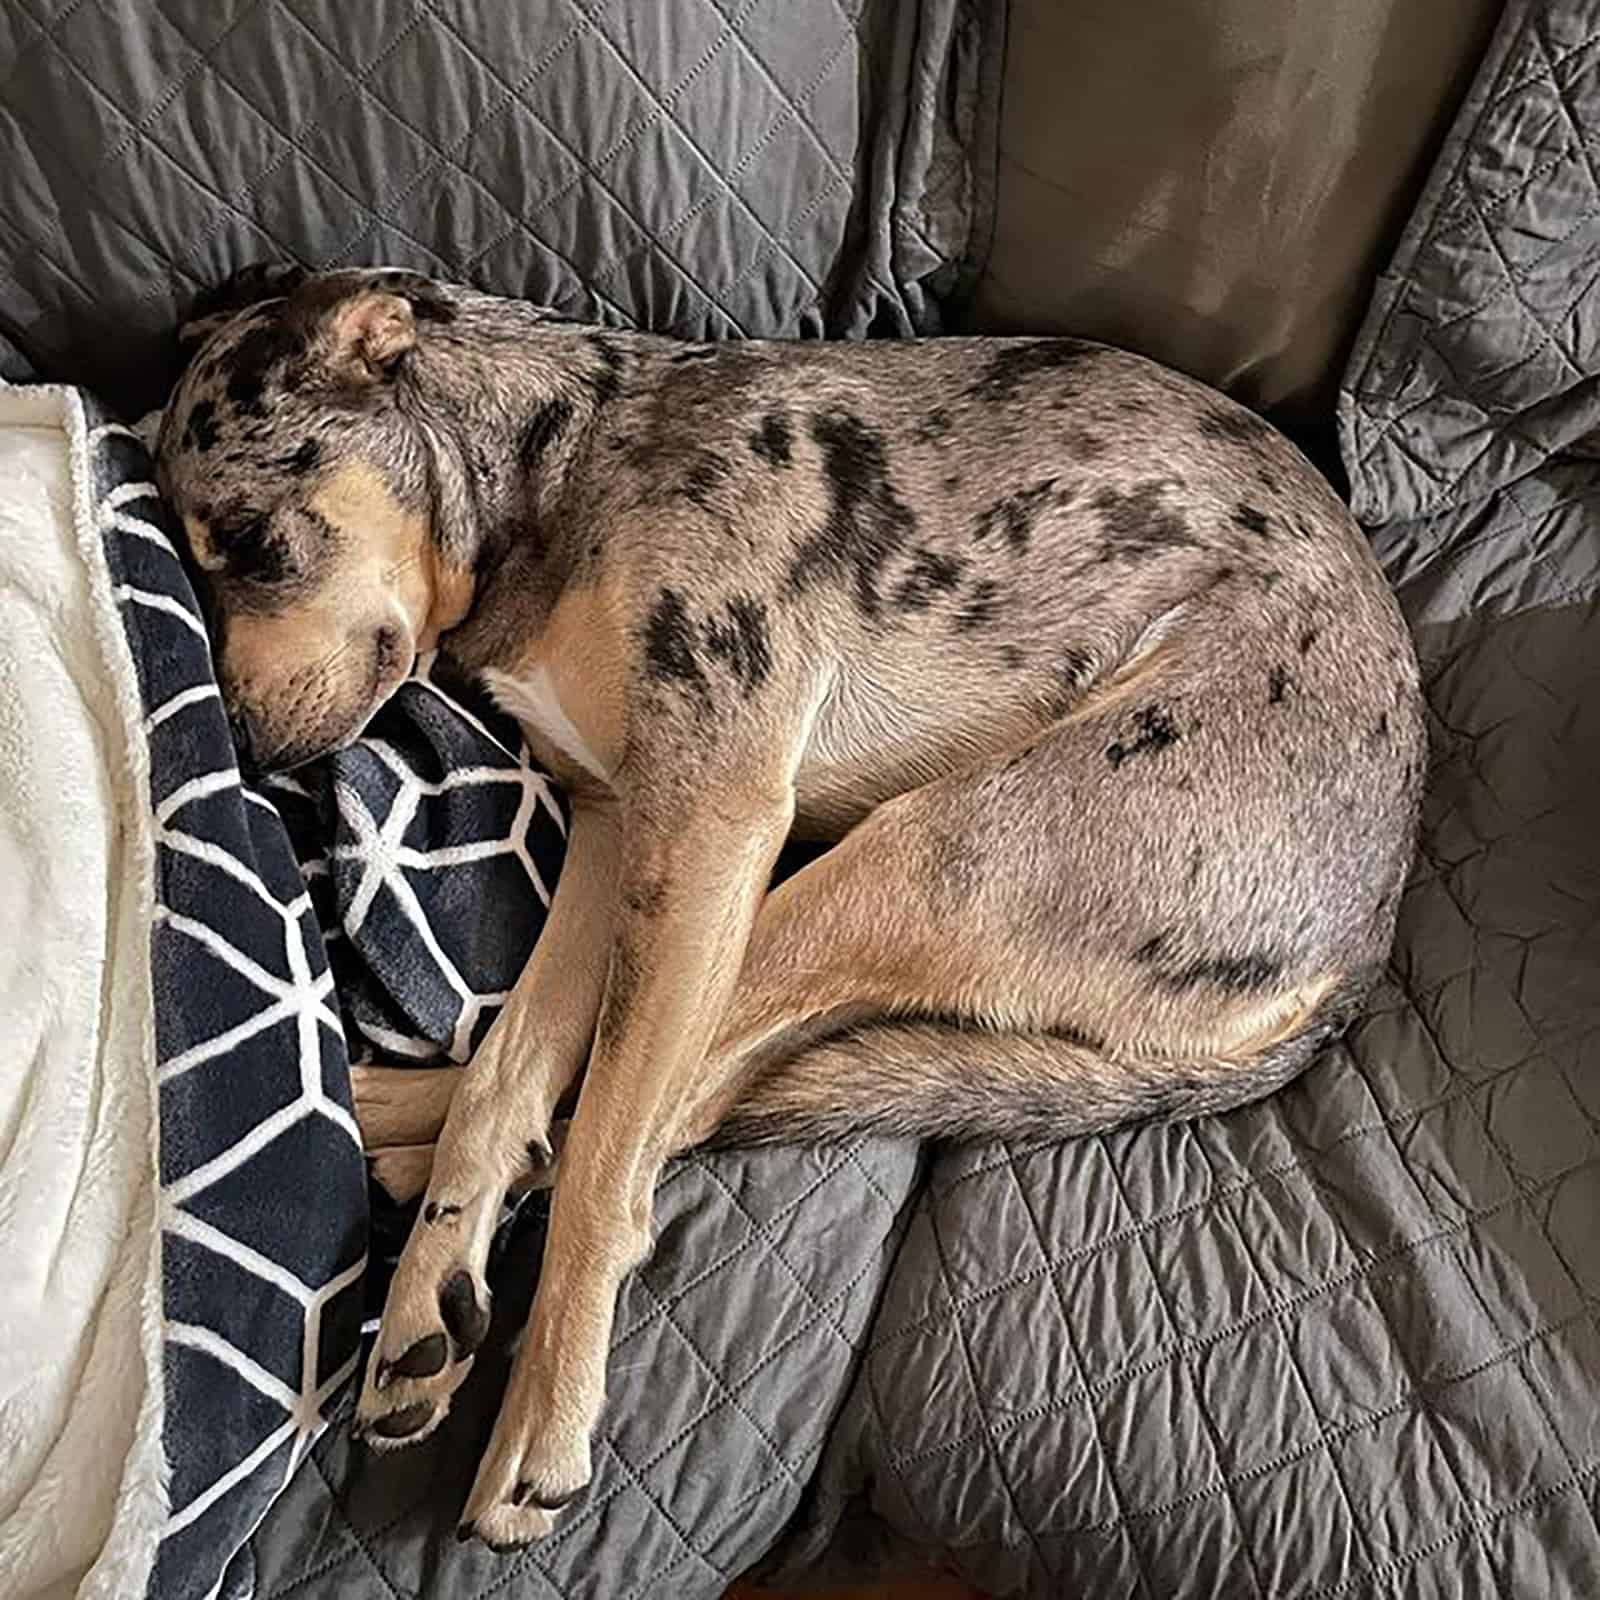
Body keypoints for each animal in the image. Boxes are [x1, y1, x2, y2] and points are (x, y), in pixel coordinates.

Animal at [152, 265, 1427, 1548]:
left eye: (253, 544)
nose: (241, 753)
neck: (560, 466)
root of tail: (1368, 935)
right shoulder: (618, 835)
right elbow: (511, 1072)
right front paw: (429, 1290)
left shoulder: (708, 820)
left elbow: (606, 1138)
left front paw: (542, 1418)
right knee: (687, 1082)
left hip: (926, 844)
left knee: (678, 1096)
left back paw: (390, 1124)